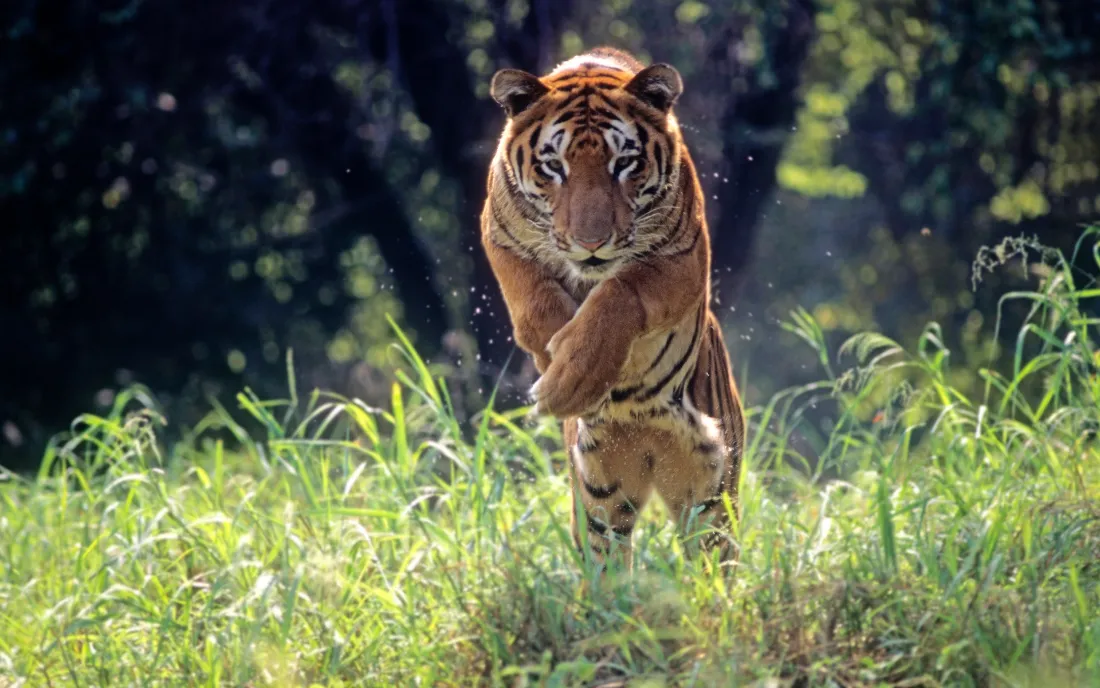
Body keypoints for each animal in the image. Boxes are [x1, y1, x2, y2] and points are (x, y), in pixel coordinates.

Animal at [480, 46, 745, 569]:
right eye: (553, 166)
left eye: (625, 163)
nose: (591, 243)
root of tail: (646, 439)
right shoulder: (498, 233)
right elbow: (535, 300)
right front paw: (556, 370)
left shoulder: (682, 258)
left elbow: (619, 294)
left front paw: (573, 377)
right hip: (602, 493)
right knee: (606, 558)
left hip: (710, 492)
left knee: (712, 558)